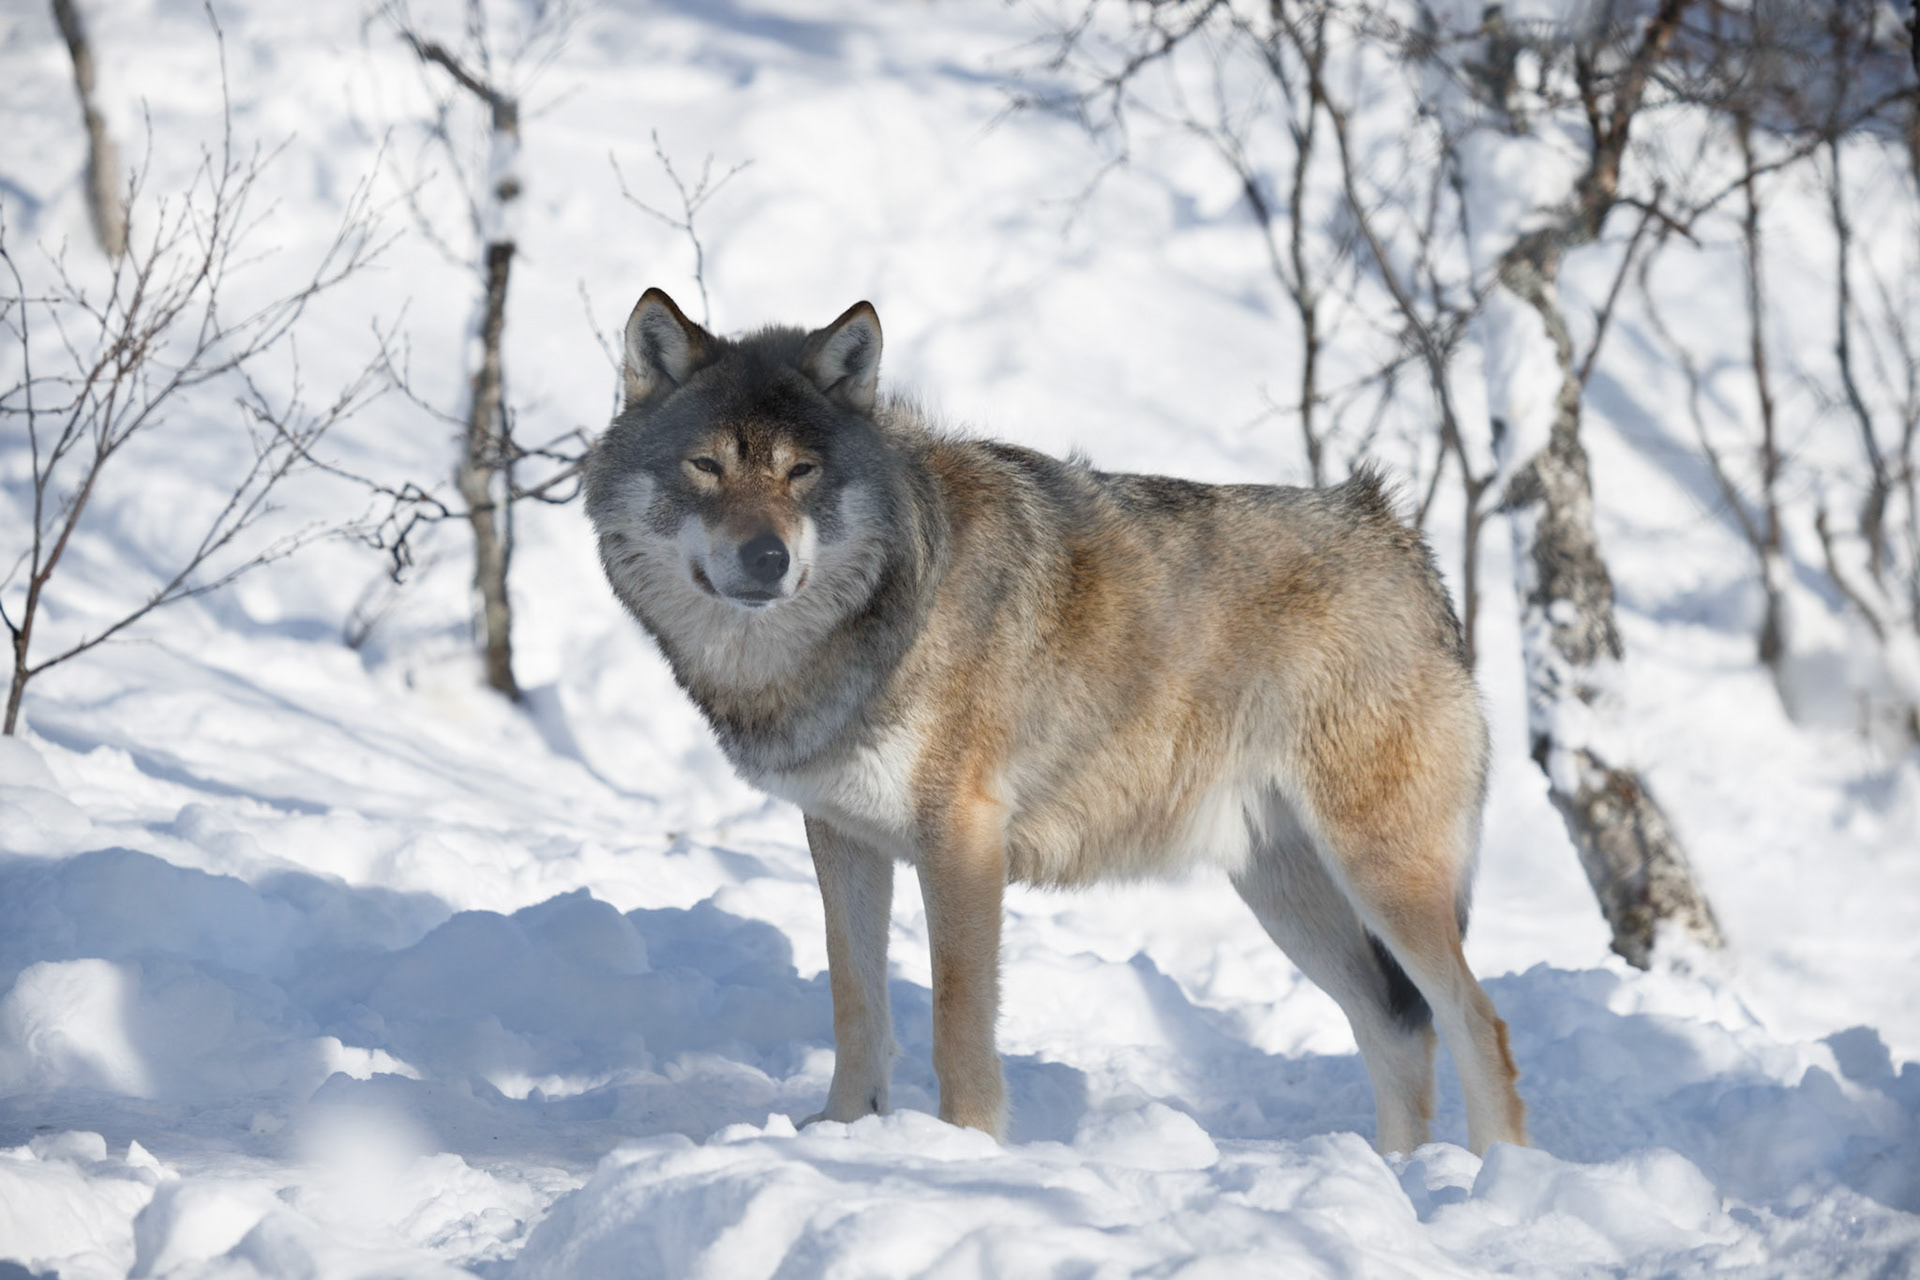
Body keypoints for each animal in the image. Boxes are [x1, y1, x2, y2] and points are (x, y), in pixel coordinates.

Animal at [586, 288, 1528, 1156]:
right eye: (706, 466)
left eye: (801, 473)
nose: (767, 558)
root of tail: (1400, 537)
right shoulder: (841, 836)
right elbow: (855, 1004)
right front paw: (846, 1131)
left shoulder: (962, 841)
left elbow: (958, 1022)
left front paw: (965, 1149)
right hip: (1288, 896)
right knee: (1398, 1033)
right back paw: (1399, 1176)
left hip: (1381, 878)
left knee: (1478, 1024)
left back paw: (1492, 1187)